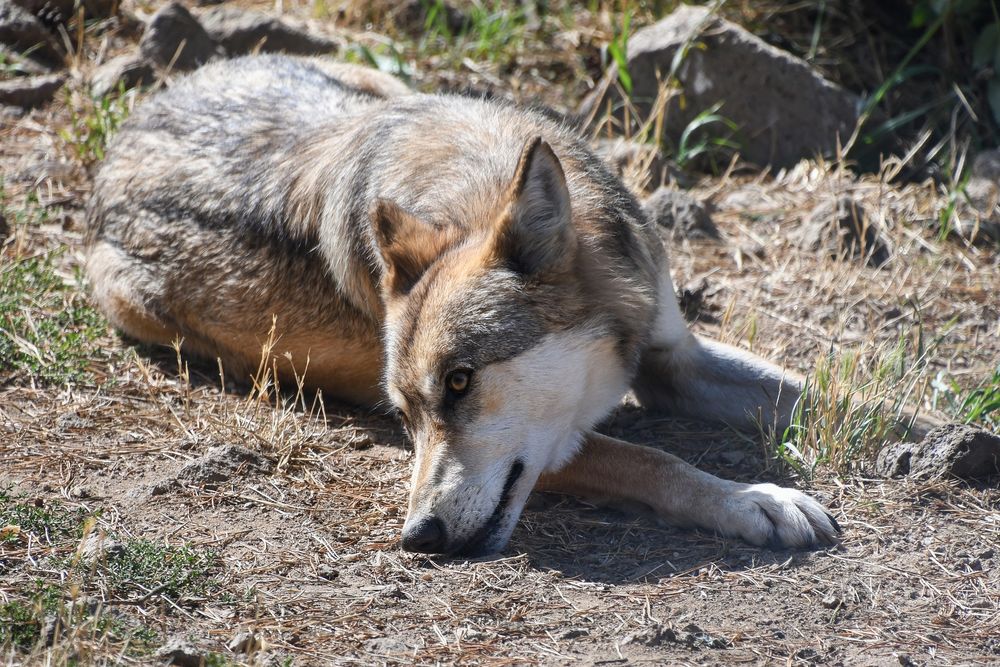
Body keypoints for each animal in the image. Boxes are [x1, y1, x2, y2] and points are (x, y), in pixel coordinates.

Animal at [90, 56, 844, 560]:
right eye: (404, 415)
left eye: (459, 382)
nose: (416, 537)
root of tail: (127, 126)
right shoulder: (562, 444)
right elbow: (651, 459)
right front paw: (753, 501)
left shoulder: (673, 358)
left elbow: (827, 395)